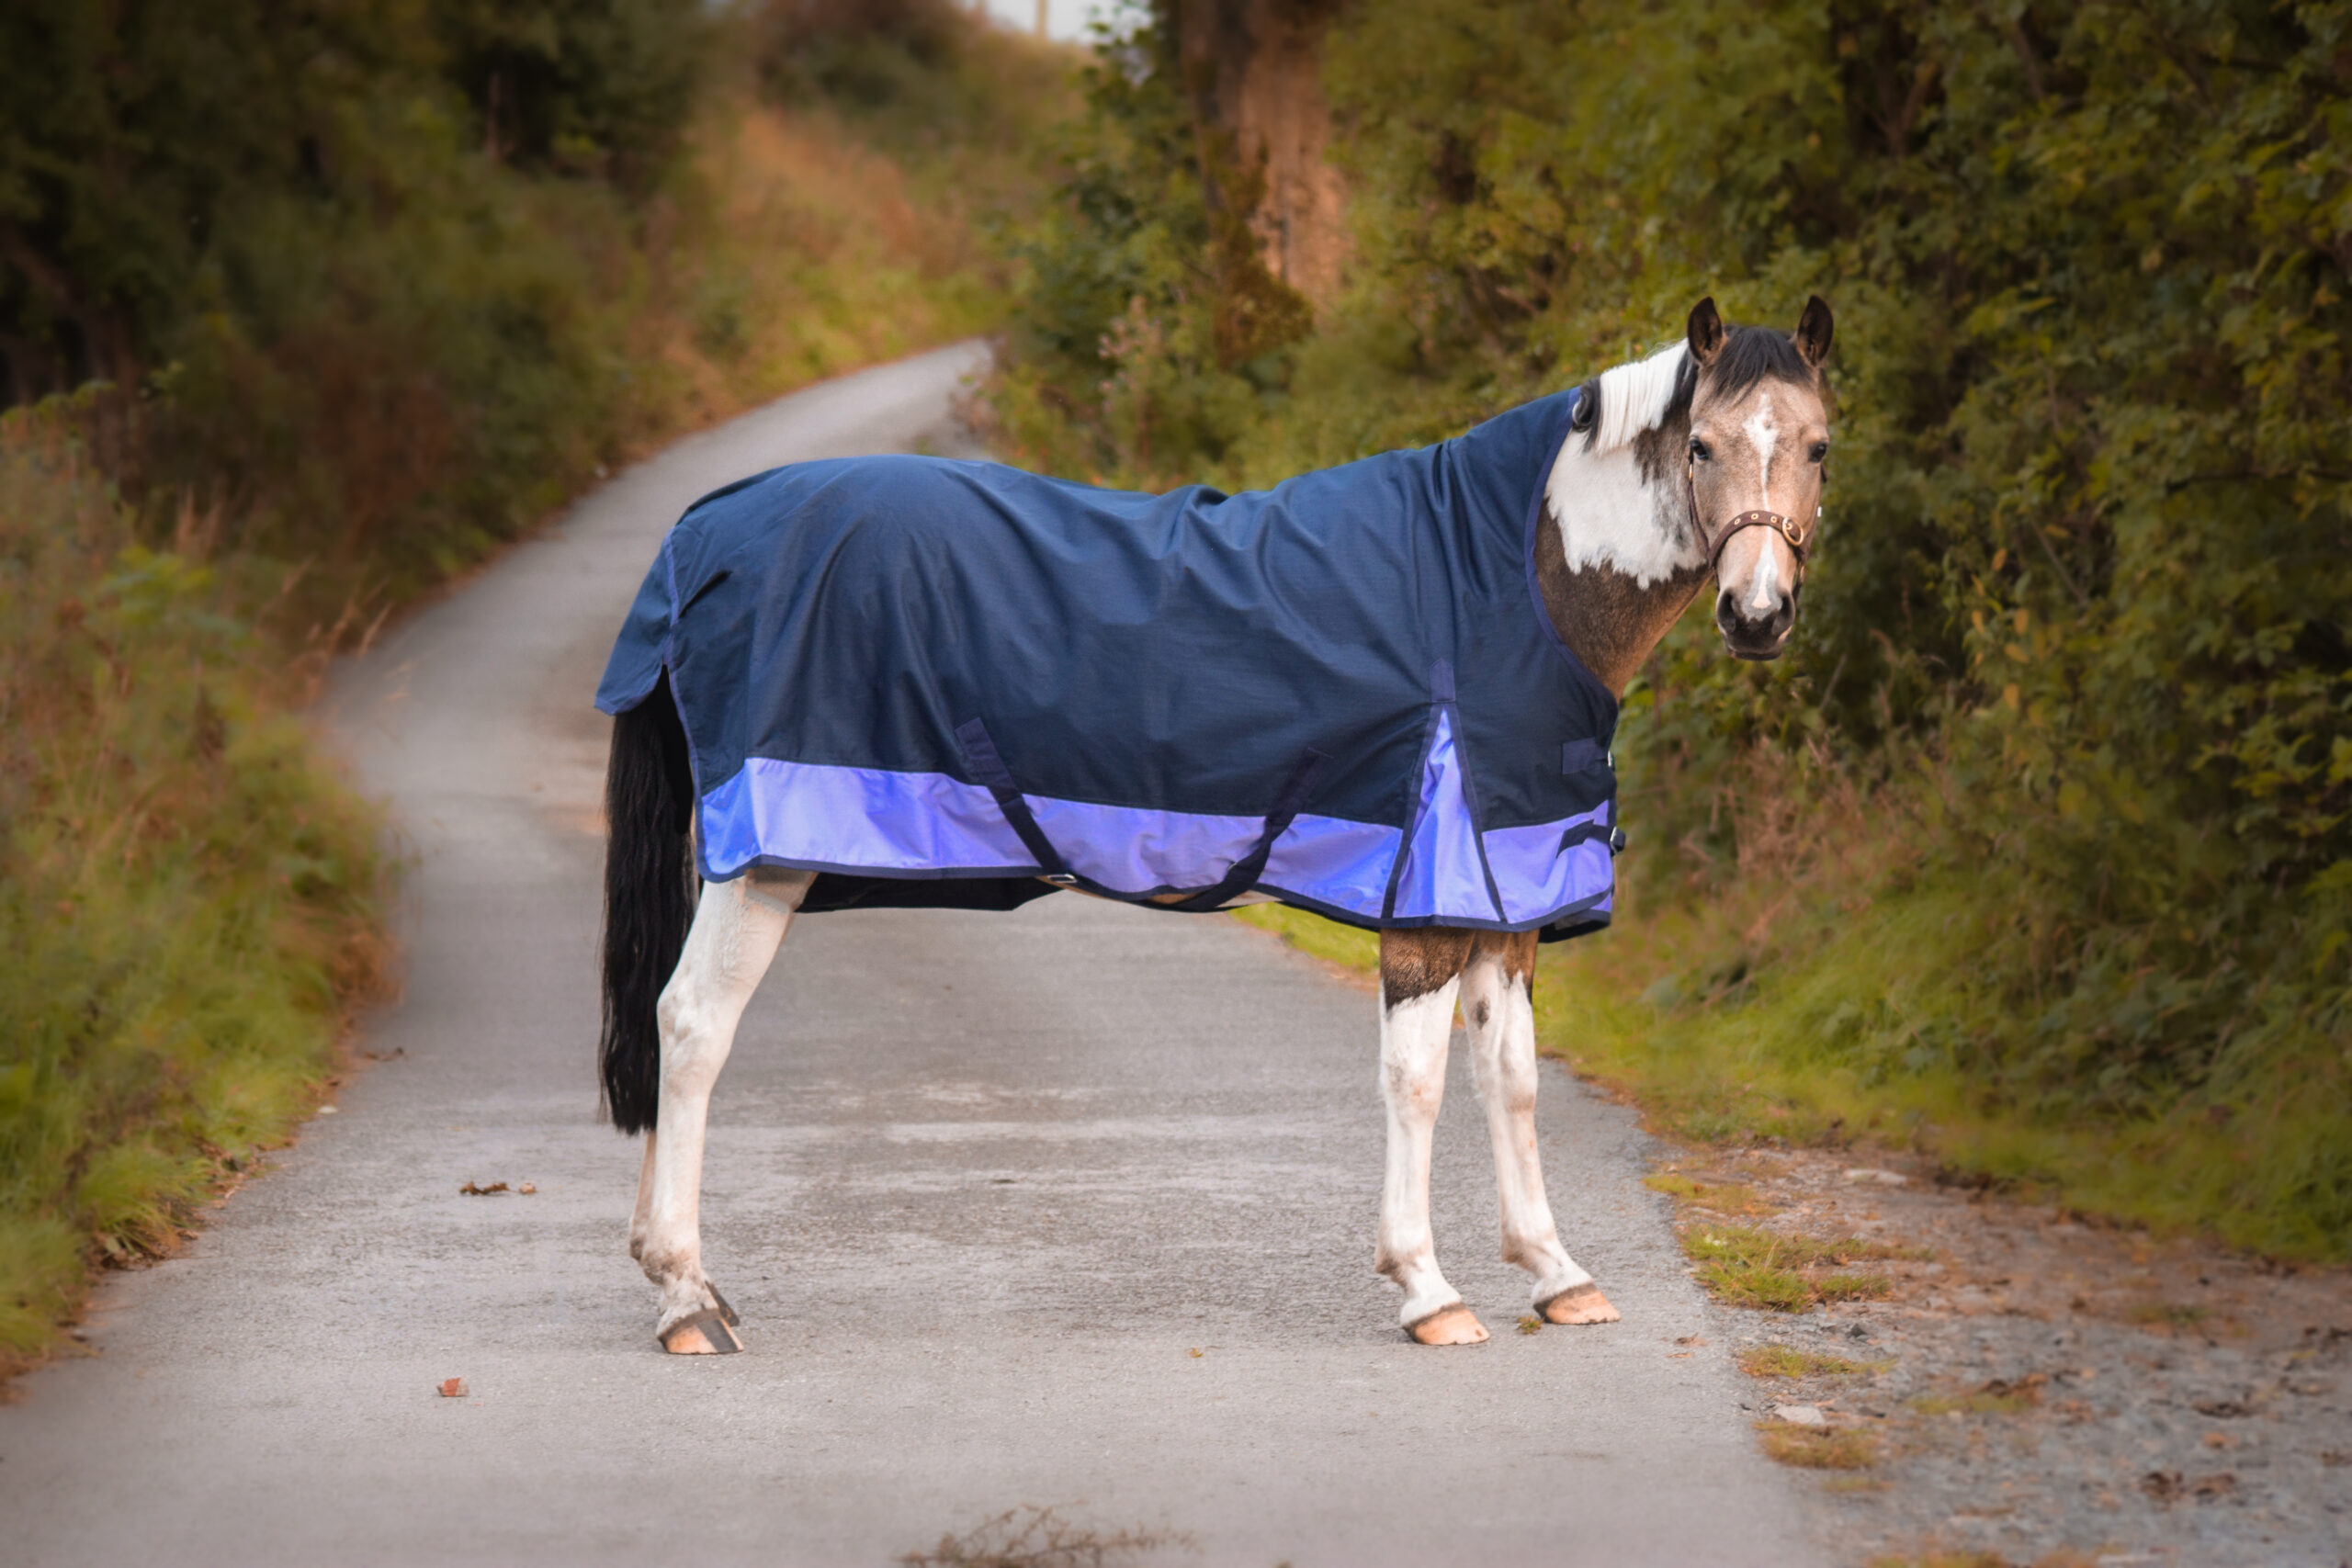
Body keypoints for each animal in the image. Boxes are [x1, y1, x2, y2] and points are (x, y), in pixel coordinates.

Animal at [595, 295, 1834, 1354]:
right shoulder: (1428, 895)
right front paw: (1427, 1289)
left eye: (1817, 447)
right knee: (691, 1028)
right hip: (762, 864)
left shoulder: (1510, 893)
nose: (1757, 616)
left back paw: (682, 1281)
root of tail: (705, 528)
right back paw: (683, 1298)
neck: (1513, 582)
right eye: (1702, 446)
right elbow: (1418, 1082)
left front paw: (1556, 1274)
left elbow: (1512, 1080)